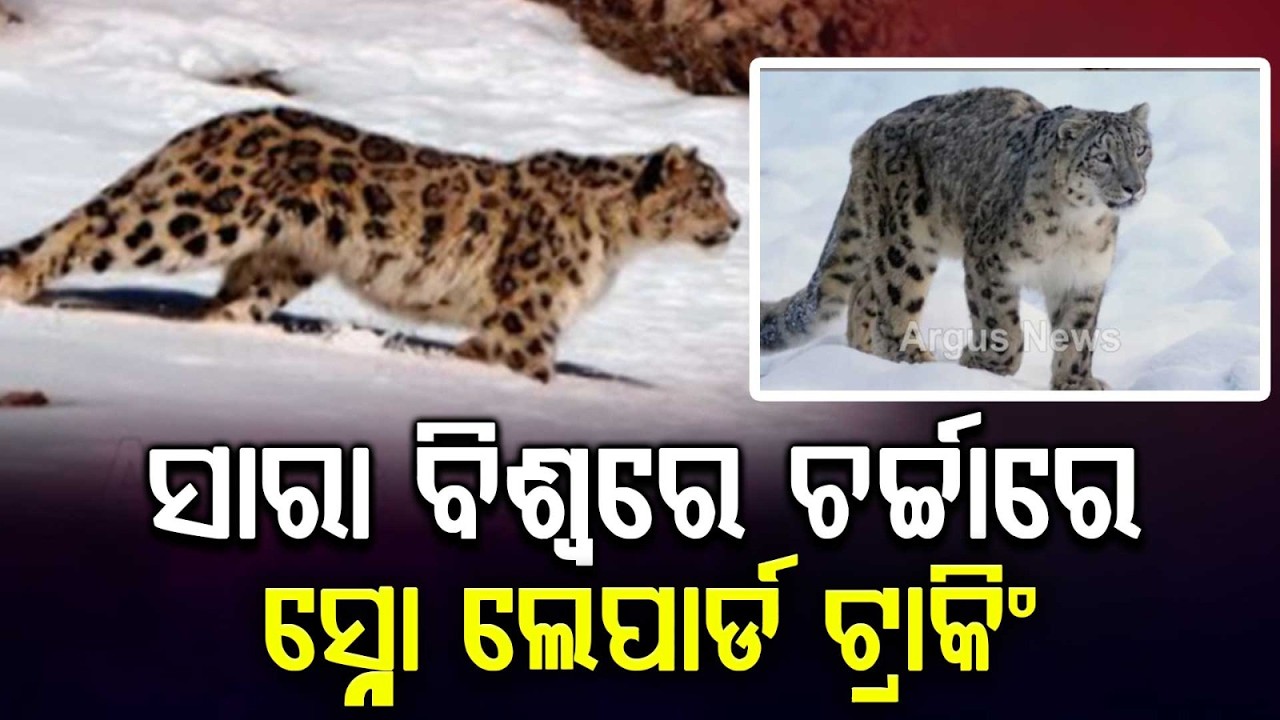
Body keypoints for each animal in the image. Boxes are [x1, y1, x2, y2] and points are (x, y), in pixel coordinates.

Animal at [0, 106, 740, 383]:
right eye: (708, 190)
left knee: (226, 307)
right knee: (92, 226)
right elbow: (534, 369)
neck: (617, 246)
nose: (736, 223)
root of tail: (211, 123)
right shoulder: (530, 314)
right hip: (198, 217)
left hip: (281, 260)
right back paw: (17, 286)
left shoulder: (511, 322)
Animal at [760, 87, 1153, 391]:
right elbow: (1001, 322)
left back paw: (861, 357)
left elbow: (1077, 332)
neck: (1077, 227)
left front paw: (1076, 383)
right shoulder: (989, 260)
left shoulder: (1083, 277)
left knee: (864, 292)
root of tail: (868, 135)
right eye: (1102, 156)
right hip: (907, 242)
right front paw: (986, 363)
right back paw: (911, 358)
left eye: (1141, 150)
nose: (1133, 186)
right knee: (894, 297)